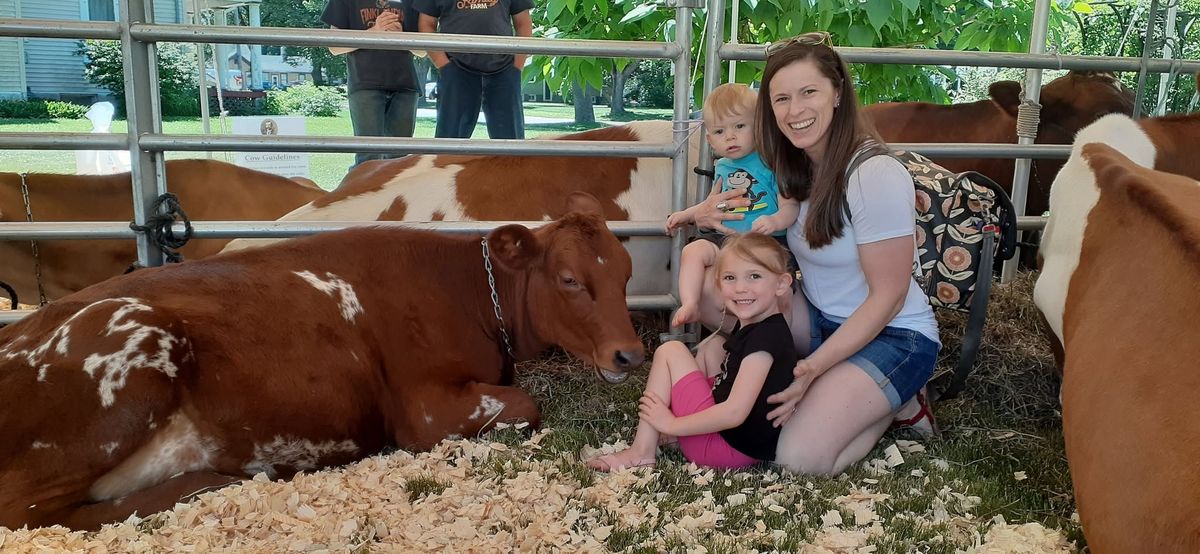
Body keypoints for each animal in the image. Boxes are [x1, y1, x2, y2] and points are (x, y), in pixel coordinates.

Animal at [0, 193, 648, 530]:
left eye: (625, 273)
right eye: (569, 279)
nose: (632, 353)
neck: (467, 291)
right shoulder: (424, 413)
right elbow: (527, 403)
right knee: (31, 511)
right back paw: (211, 481)